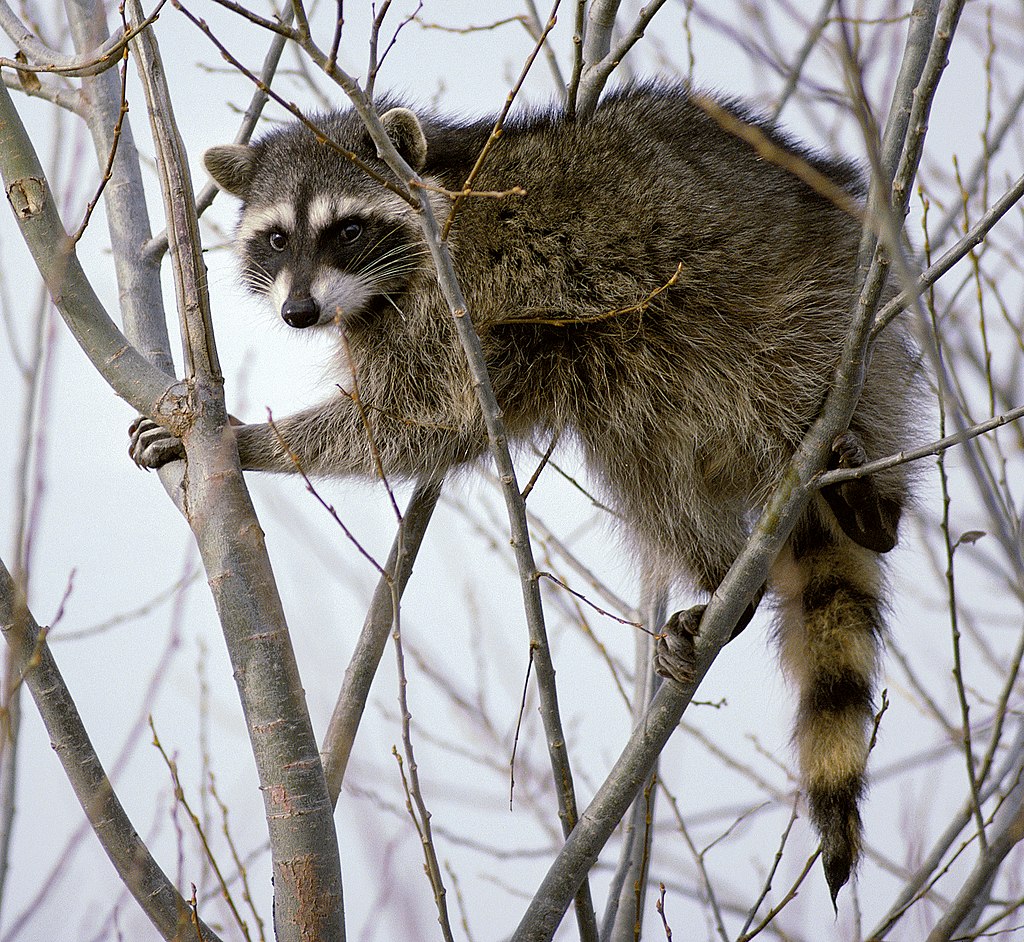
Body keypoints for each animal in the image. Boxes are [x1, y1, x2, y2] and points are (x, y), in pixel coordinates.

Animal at [132, 84, 917, 901]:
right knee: (640, 454)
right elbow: (440, 428)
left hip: (807, 313)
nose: (299, 313)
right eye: (278, 238)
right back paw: (723, 571)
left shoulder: (453, 297)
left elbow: (413, 418)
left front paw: (250, 439)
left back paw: (872, 505)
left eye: (347, 229)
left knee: (767, 388)